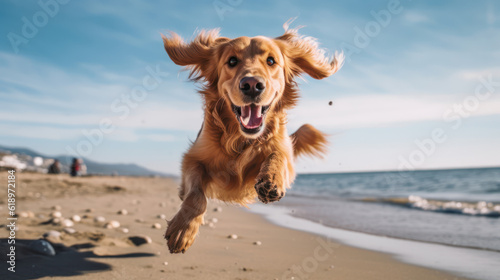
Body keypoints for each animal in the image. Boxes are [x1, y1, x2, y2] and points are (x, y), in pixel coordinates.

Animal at [162, 23, 342, 253]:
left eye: (271, 61)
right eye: (232, 61)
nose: (252, 85)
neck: (240, 139)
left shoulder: (283, 153)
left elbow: (277, 155)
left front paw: (271, 180)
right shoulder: (192, 158)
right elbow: (196, 195)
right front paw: (183, 230)